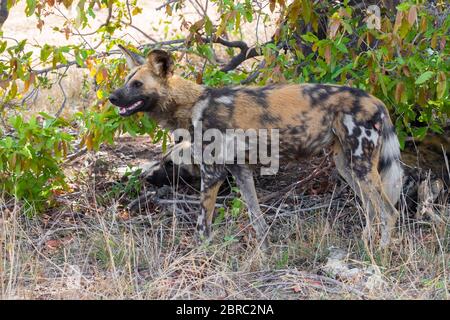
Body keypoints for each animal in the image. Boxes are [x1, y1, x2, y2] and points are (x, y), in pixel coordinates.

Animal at [110, 45, 404, 248]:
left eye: (137, 84)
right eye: (126, 81)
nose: (112, 97)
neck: (193, 105)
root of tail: (375, 100)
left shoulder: (212, 174)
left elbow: (202, 224)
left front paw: (200, 254)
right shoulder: (240, 171)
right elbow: (257, 218)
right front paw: (264, 252)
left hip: (362, 167)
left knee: (389, 212)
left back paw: (381, 254)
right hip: (347, 166)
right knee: (371, 210)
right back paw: (365, 246)